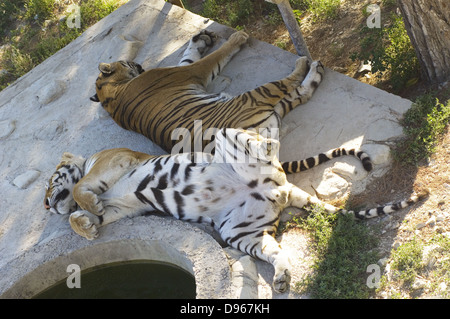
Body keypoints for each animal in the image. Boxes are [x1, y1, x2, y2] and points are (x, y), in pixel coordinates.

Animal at [42, 129, 426, 294]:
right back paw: (282, 279)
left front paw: (83, 207)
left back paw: (266, 142)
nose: (46, 204)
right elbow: (87, 214)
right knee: (277, 253)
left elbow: (80, 187)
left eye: (47, 183)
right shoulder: (123, 207)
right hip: (242, 233)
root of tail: (281, 188)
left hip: (225, 138)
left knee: (256, 138)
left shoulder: (109, 163)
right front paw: (87, 226)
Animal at [90, 30, 324, 159]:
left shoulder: (183, 68)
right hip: (254, 98)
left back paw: (315, 71)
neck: (111, 95)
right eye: (126, 61)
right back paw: (304, 63)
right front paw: (237, 37)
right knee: (289, 84)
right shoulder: (191, 72)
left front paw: (200, 38)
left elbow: (188, 54)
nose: (139, 64)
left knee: (302, 93)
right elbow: (215, 56)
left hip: (272, 111)